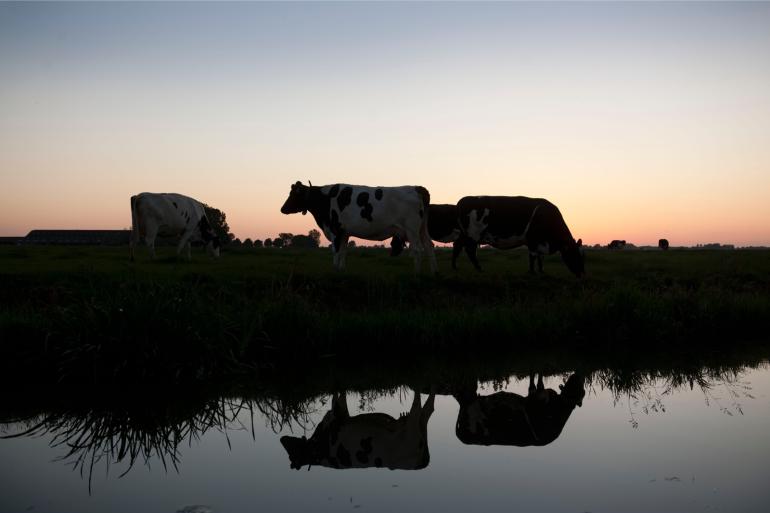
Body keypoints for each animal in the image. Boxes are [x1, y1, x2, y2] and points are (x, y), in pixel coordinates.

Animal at [278, 390, 436, 470]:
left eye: (291, 451)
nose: (281, 438)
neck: (317, 451)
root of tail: (422, 463)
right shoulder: (340, 414)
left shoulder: (336, 414)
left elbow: (337, 394)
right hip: (418, 422)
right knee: (428, 404)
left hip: (415, 421)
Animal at [280, 182, 438, 274]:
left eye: (293, 194)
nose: (282, 209)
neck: (325, 199)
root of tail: (417, 188)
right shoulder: (344, 233)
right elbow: (343, 251)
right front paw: (341, 270)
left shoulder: (335, 230)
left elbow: (336, 251)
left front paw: (334, 270)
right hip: (422, 228)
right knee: (429, 246)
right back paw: (432, 273)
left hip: (412, 229)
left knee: (417, 250)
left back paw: (416, 274)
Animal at [450, 370, 584, 446]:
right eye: (582, 392)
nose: (580, 375)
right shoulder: (538, 395)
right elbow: (538, 377)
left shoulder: (535, 394)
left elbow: (534, 379)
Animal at [452, 195, 584, 276]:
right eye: (573, 255)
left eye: (581, 256)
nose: (582, 273)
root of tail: (462, 201)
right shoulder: (532, 240)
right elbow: (533, 256)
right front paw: (532, 272)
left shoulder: (539, 242)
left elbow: (540, 257)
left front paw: (541, 271)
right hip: (473, 234)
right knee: (469, 250)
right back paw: (478, 268)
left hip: (465, 234)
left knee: (457, 245)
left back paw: (456, 267)